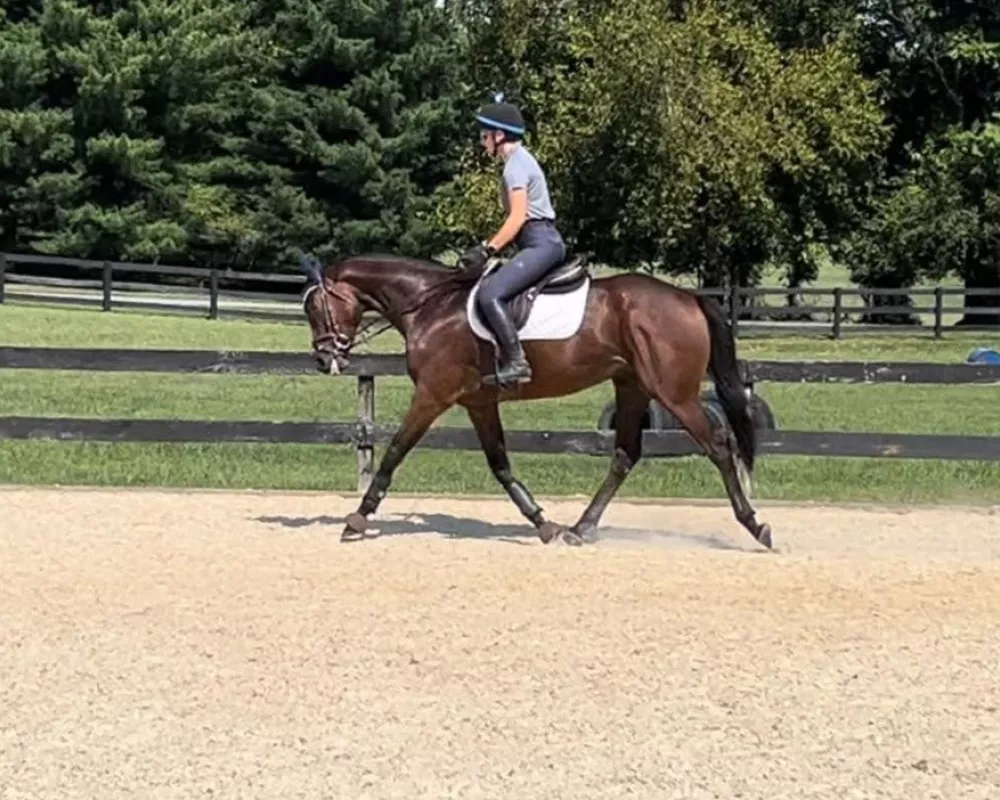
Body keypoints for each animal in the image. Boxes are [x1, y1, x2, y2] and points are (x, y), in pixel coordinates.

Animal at [298, 252, 772, 552]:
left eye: (316, 308)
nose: (323, 358)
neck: (430, 306)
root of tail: (689, 296)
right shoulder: (478, 403)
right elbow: (500, 465)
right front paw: (543, 523)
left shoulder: (433, 394)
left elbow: (394, 451)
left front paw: (357, 519)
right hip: (632, 386)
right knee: (625, 454)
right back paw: (581, 527)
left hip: (673, 392)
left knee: (719, 445)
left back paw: (756, 526)